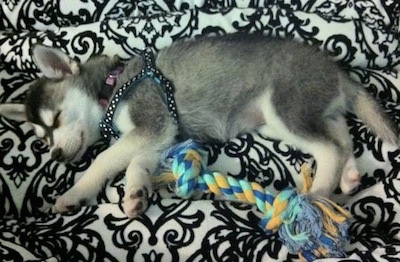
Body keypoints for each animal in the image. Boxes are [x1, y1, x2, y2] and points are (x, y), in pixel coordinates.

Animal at [0, 33, 396, 218]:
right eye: (41, 137)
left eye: (56, 119)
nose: (55, 154)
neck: (113, 86)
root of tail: (336, 71)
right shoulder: (161, 135)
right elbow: (137, 162)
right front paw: (136, 191)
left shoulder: (151, 122)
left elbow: (106, 159)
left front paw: (74, 192)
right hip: (293, 116)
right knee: (341, 136)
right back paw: (349, 176)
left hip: (283, 108)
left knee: (329, 148)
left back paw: (316, 197)